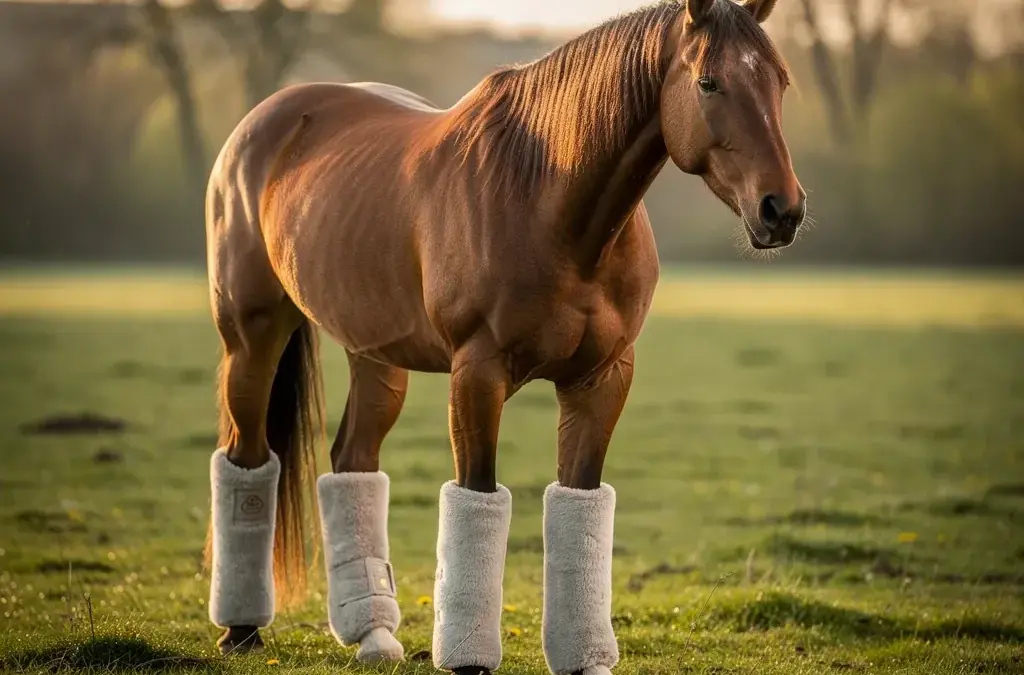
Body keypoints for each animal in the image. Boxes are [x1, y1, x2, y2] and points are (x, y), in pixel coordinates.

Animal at [202, 1, 804, 673]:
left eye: (780, 81)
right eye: (708, 82)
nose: (781, 210)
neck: (549, 202)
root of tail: (265, 121)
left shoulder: (601, 379)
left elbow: (579, 503)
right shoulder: (478, 375)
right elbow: (477, 497)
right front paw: (468, 657)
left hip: (375, 353)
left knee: (353, 462)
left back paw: (374, 635)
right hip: (252, 337)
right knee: (246, 456)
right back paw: (242, 629)